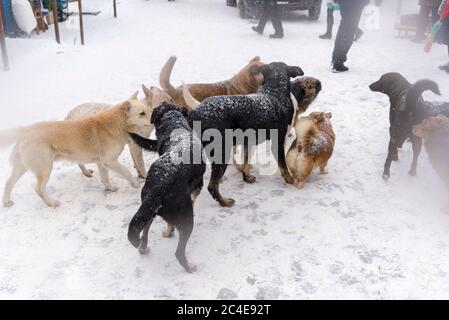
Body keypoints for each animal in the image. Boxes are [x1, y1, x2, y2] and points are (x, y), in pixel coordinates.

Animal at [0, 100, 151, 210]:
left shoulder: (101, 162)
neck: (117, 124)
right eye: (142, 113)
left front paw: (110, 188)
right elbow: (126, 172)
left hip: (22, 167)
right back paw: (52, 203)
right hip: (45, 168)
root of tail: (25, 130)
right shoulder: (109, 161)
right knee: (39, 189)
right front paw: (135, 184)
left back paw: (6, 202)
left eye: (148, 110)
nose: (154, 118)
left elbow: (105, 178)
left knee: (8, 183)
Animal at [126, 104, 203, 274]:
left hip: (148, 211)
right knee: (179, 253)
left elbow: (168, 224)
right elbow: (194, 198)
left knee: (143, 235)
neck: (175, 124)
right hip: (186, 219)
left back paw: (144, 248)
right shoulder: (197, 187)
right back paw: (190, 268)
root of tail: (157, 188)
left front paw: (168, 231)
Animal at [187, 62, 302, 208]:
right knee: (212, 186)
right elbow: (283, 165)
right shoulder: (278, 142)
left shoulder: (248, 141)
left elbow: (246, 161)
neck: (275, 91)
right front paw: (290, 179)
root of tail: (194, 113)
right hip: (221, 154)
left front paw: (246, 177)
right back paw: (224, 201)